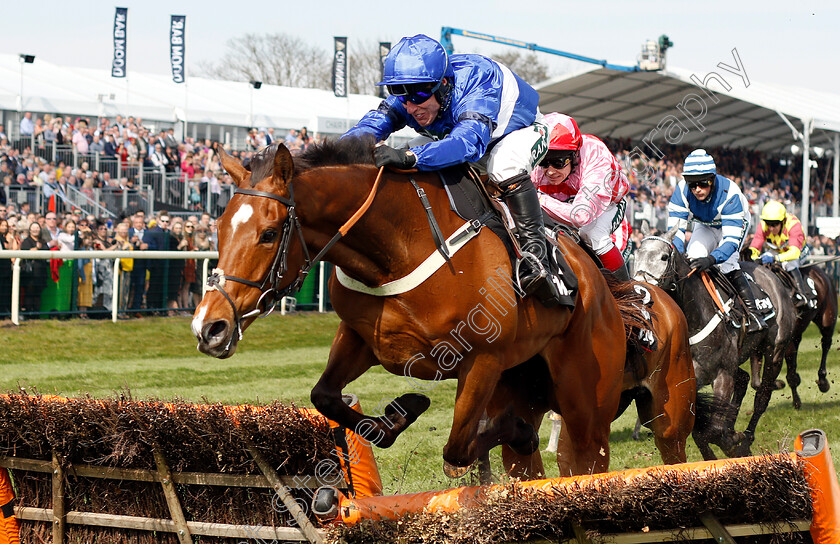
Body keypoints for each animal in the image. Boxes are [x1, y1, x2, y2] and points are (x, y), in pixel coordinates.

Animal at [194, 139, 692, 476]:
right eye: (218, 227)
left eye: (268, 233)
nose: (209, 327)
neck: (399, 246)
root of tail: (607, 292)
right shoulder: (360, 339)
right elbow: (325, 397)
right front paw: (398, 413)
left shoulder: (482, 361)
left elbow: (458, 448)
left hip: (604, 406)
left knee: (607, 455)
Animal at [632, 225, 796, 460]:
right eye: (635, 255)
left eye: (663, 257)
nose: (640, 292)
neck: (693, 318)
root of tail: (770, 275)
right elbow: (698, 430)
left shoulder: (722, 374)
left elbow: (713, 430)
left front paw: (733, 441)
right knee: (743, 379)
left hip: (775, 350)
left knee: (761, 398)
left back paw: (746, 439)